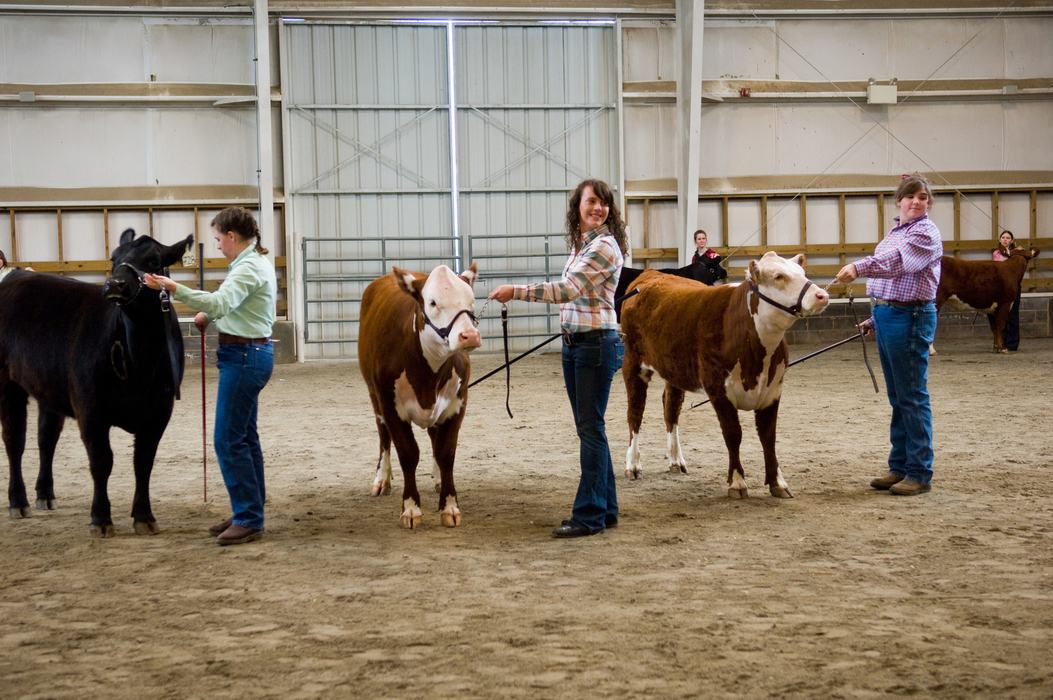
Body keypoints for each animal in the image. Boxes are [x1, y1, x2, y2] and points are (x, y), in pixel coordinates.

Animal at [0, 229, 193, 536]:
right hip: (8, 384)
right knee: (14, 441)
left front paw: (144, 516)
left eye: (153, 261)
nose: (114, 284)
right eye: (113, 258)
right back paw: (18, 502)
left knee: (46, 439)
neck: (142, 360)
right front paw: (101, 518)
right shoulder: (90, 409)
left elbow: (144, 462)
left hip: (48, 388)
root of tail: (15, 275)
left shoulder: (159, 412)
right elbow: (102, 461)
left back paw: (45, 495)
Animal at [358, 263, 481, 529]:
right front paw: (411, 509)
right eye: (433, 302)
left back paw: (437, 479)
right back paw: (381, 480)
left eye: (471, 301)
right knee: (383, 437)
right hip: (374, 395)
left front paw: (450, 506)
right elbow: (408, 454)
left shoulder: (457, 404)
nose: (469, 336)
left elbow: (446, 453)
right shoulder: (391, 406)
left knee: (435, 440)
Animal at [619, 252, 829, 498]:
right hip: (633, 362)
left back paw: (676, 460)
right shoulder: (719, 390)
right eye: (778, 276)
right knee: (635, 412)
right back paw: (633, 465)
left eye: (803, 273)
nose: (821, 295)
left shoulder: (773, 391)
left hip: (674, 369)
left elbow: (768, 437)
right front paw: (737, 483)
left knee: (671, 409)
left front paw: (778, 483)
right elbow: (733, 435)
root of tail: (650, 275)